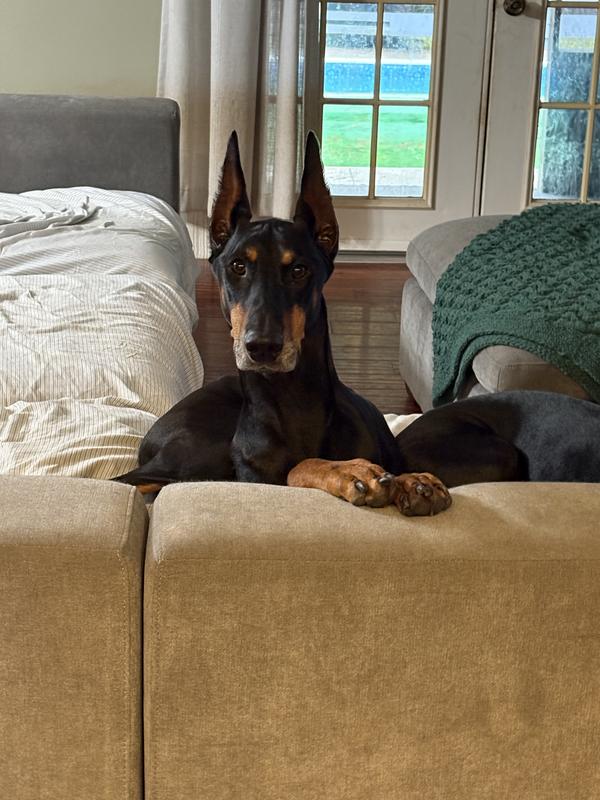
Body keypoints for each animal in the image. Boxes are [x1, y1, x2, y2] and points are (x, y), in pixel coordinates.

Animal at [114, 132, 600, 514]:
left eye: (299, 270)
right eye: (237, 266)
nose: (262, 347)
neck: (294, 399)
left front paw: (411, 482)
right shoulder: (253, 479)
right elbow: (296, 468)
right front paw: (350, 474)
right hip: (197, 454)